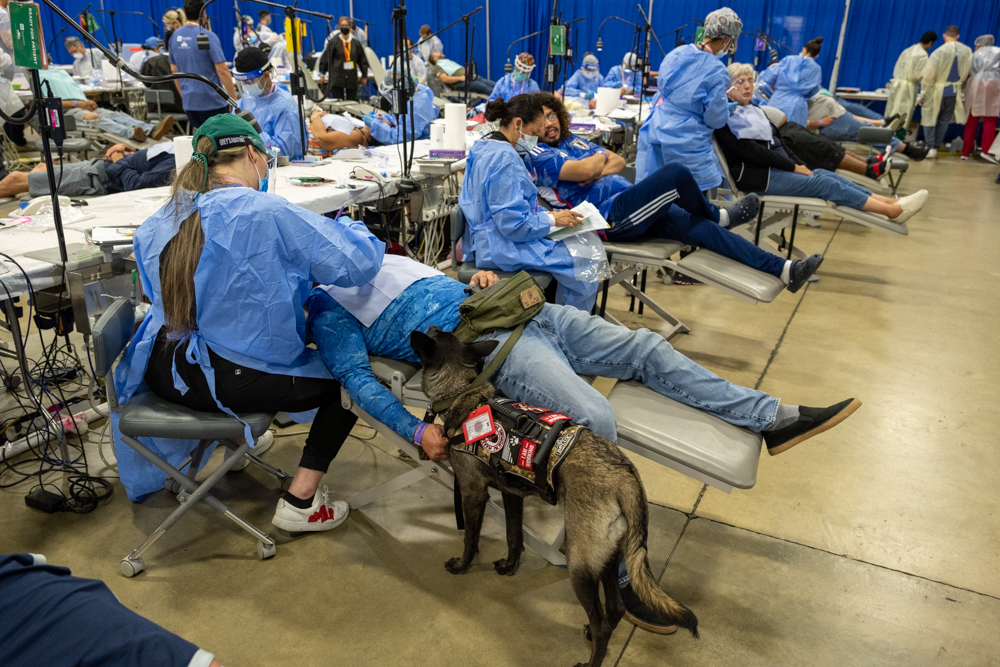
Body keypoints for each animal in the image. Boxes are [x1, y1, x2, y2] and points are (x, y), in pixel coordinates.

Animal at [410, 328, 700, 667]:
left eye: (435, 332)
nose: (428, 327)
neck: (462, 393)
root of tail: (625, 475)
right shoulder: (511, 494)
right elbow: (513, 536)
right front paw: (510, 567)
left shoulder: (472, 492)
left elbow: (471, 538)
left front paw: (462, 565)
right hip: (606, 556)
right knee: (614, 607)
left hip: (580, 564)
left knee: (602, 625)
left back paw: (591, 658)